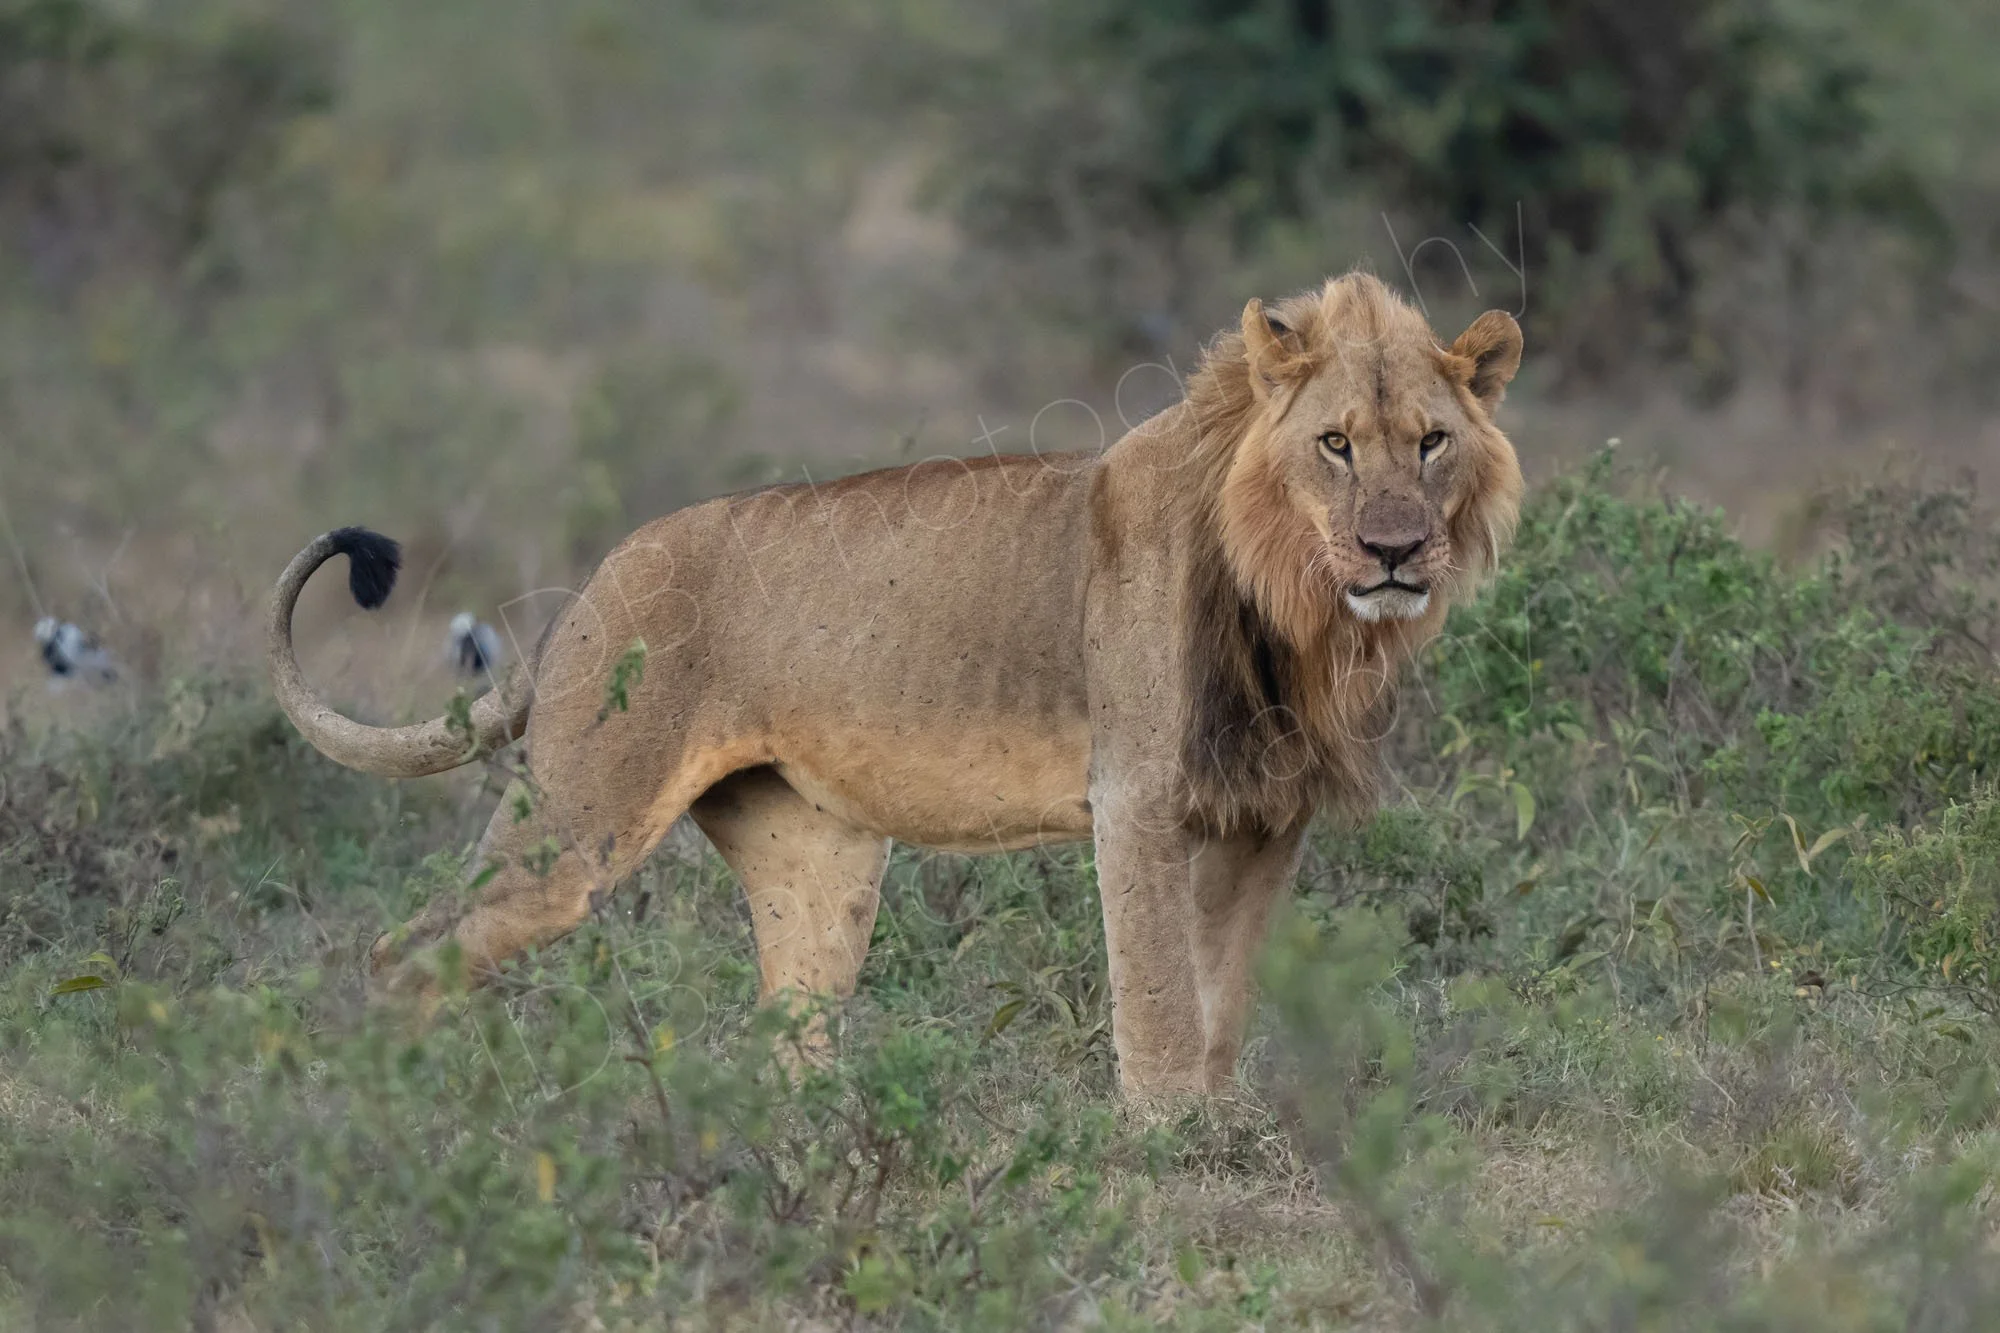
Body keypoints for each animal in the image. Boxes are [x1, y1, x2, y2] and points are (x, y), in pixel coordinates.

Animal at [266, 271, 1523, 1097]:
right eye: (1334, 444)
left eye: (1428, 442)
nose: (1394, 552)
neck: (1299, 608)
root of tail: (590, 585)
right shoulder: (1134, 800)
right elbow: (1162, 1003)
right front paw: (1165, 1156)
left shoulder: (1264, 819)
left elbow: (1219, 1003)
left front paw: (1218, 1132)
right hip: (578, 819)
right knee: (402, 952)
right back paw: (404, 1115)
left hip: (817, 864)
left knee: (786, 1032)